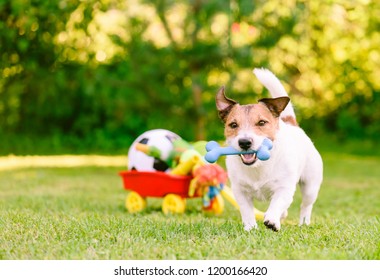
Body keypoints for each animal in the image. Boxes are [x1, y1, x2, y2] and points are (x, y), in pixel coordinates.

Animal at [215, 68, 322, 232]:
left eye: (261, 122)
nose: (245, 142)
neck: (259, 166)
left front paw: (272, 220)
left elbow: (277, 203)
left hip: (311, 186)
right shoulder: (240, 191)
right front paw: (250, 227)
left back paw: (303, 222)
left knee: (305, 205)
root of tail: (292, 124)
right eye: (233, 125)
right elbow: (246, 210)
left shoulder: (284, 188)